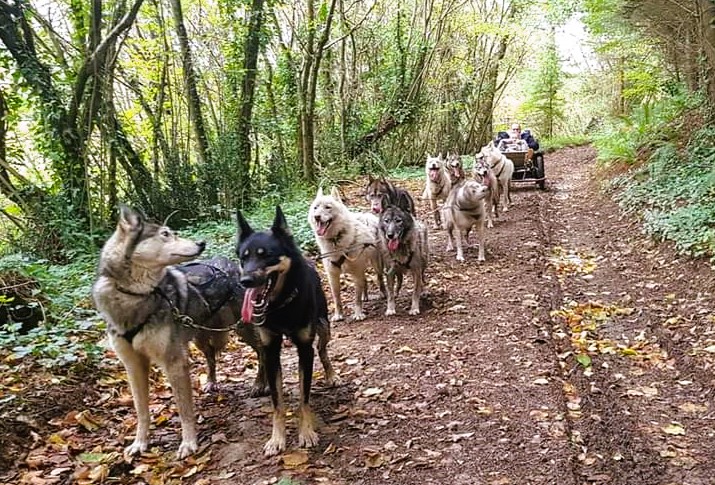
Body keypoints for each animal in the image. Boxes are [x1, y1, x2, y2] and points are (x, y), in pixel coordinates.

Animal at [235, 204, 336, 454]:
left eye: (267, 255)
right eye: (243, 258)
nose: (245, 281)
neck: (281, 305)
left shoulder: (304, 348)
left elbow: (304, 398)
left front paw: (306, 432)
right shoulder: (271, 348)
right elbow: (277, 402)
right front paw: (277, 438)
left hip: (323, 326)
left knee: (322, 350)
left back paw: (331, 374)